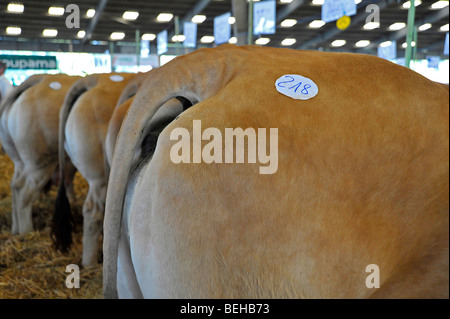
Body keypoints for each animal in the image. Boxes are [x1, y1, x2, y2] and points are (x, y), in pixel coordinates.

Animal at [0, 74, 81, 235]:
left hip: (20, 159)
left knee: (14, 184)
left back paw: (15, 229)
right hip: (41, 161)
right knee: (24, 189)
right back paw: (26, 231)